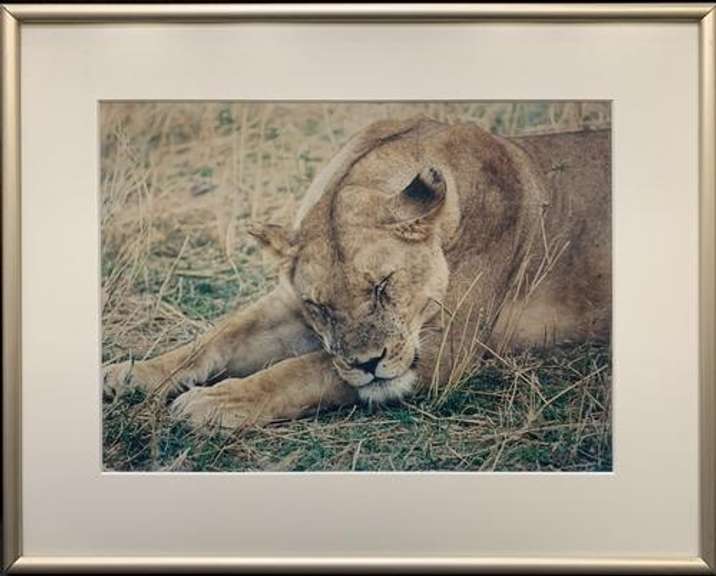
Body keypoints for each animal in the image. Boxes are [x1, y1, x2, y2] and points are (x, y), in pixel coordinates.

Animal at [103, 116, 611, 428]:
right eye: (319, 306)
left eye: (383, 285)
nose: (368, 363)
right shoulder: (290, 308)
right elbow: (217, 338)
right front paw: (132, 373)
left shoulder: (449, 350)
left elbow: (305, 370)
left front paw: (219, 401)